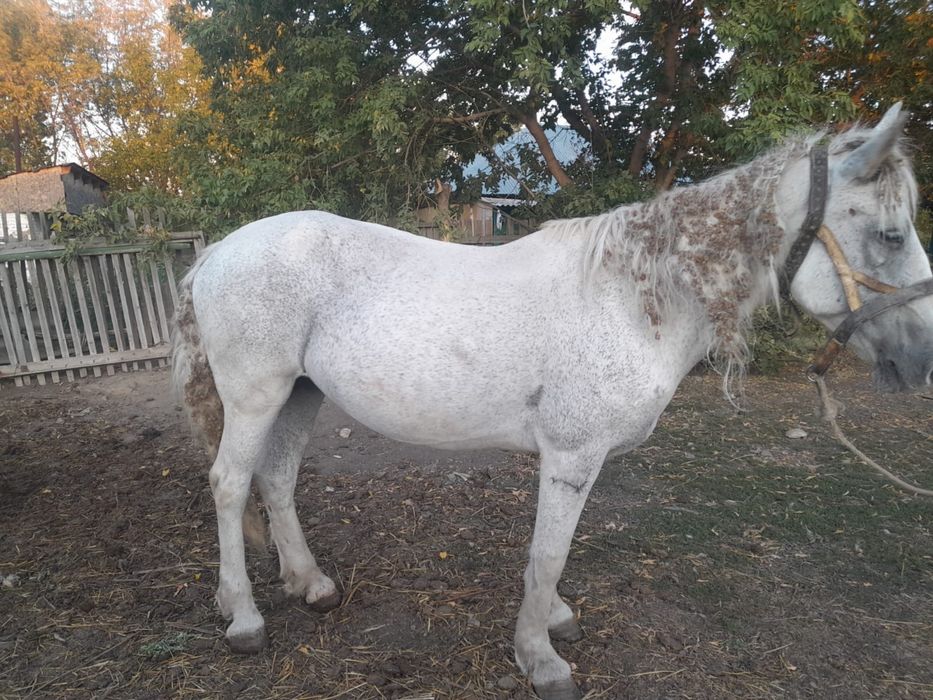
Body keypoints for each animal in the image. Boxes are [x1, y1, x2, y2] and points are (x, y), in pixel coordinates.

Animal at [171, 103, 933, 699]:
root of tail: (216, 253)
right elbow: (548, 553)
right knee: (230, 483)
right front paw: (540, 658)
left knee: (277, 478)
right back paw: (243, 618)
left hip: (299, 393)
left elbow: (553, 552)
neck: (633, 299)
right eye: (891, 234)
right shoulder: (570, 456)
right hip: (255, 395)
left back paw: (310, 583)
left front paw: (553, 620)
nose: (921, 359)